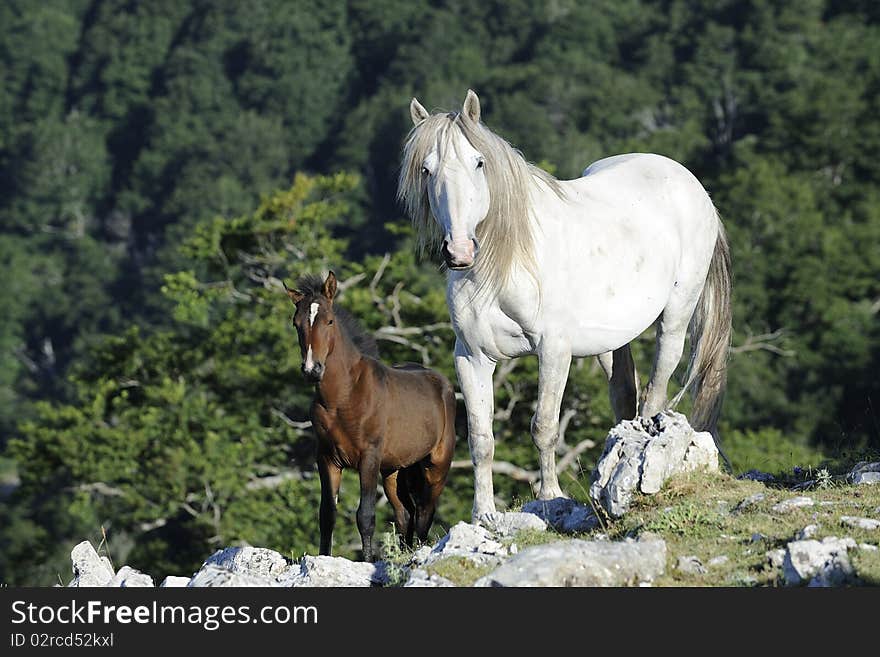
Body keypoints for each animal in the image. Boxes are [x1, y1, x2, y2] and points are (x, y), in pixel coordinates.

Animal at [288, 270, 458, 560]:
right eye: (296, 323)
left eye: (329, 320)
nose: (312, 369)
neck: (343, 396)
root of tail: (444, 385)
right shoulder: (327, 459)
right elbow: (327, 515)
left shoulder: (368, 458)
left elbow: (365, 516)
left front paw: (368, 561)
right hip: (394, 471)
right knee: (405, 513)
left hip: (436, 465)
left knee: (424, 512)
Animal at [398, 89, 728, 516]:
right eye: (426, 169)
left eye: (478, 162)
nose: (459, 252)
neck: (505, 262)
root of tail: (692, 184)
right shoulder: (471, 356)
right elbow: (481, 438)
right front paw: (483, 512)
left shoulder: (554, 350)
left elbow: (544, 427)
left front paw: (550, 497)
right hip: (611, 340)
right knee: (625, 393)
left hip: (675, 316)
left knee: (657, 386)